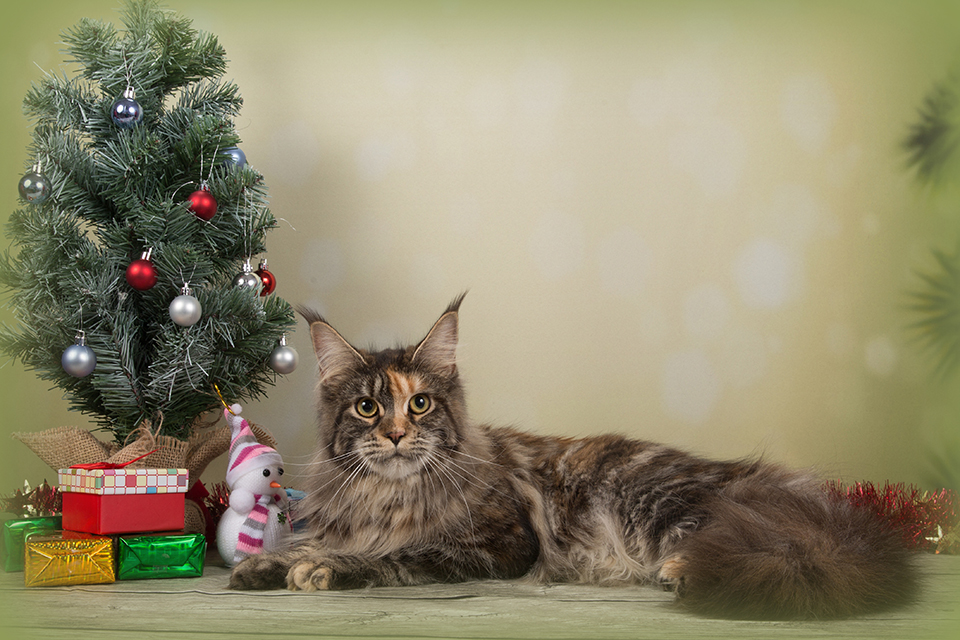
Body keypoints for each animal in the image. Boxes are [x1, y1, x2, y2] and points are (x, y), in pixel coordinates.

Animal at [231, 296, 916, 620]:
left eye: (420, 404)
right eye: (369, 408)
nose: (398, 435)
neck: (387, 494)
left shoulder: (500, 545)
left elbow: (394, 558)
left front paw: (323, 569)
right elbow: (315, 545)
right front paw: (266, 566)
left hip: (658, 503)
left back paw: (681, 573)